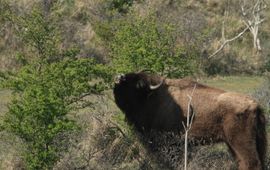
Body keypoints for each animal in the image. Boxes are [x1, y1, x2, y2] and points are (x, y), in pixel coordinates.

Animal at [113, 71, 266, 170]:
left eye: (137, 83)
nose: (119, 77)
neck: (151, 97)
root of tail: (255, 105)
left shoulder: (169, 144)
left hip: (240, 143)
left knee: (251, 163)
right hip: (238, 143)